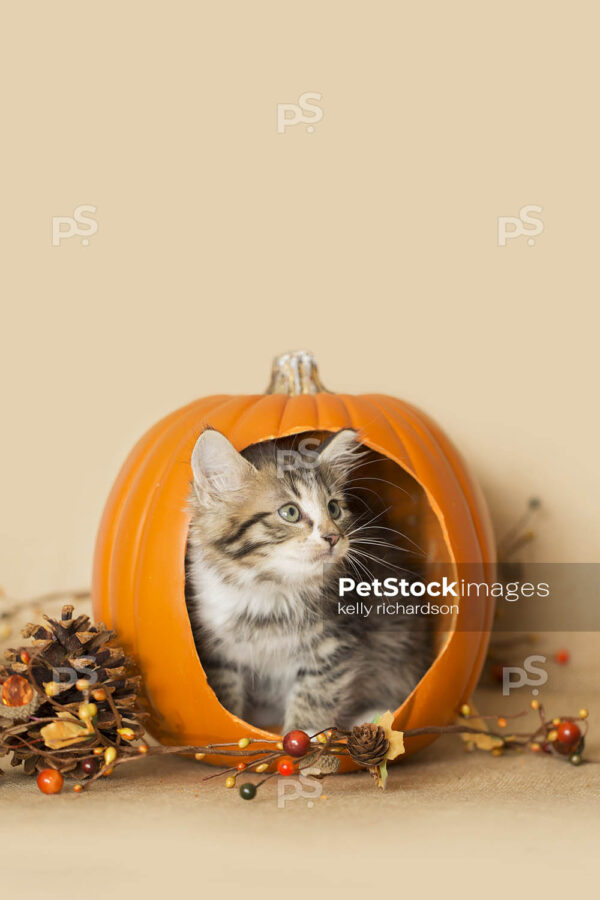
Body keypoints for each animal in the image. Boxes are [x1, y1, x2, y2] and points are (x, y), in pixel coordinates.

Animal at [185, 426, 428, 736]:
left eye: (334, 509)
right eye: (290, 512)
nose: (333, 537)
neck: (268, 588)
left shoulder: (335, 641)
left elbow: (316, 691)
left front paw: (308, 734)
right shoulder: (217, 649)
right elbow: (223, 692)